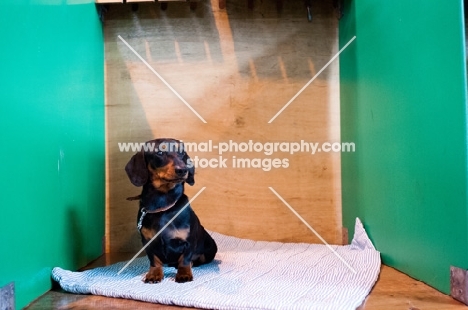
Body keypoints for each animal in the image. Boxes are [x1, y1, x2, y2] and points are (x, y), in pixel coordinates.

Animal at [125, 138, 218, 284]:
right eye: (160, 152)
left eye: (182, 153)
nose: (183, 170)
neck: (163, 204)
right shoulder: (147, 243)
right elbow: (154, 260)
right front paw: (154, 274)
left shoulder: (188, 242)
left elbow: (184, 260)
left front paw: (184, 274)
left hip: (211, 247)